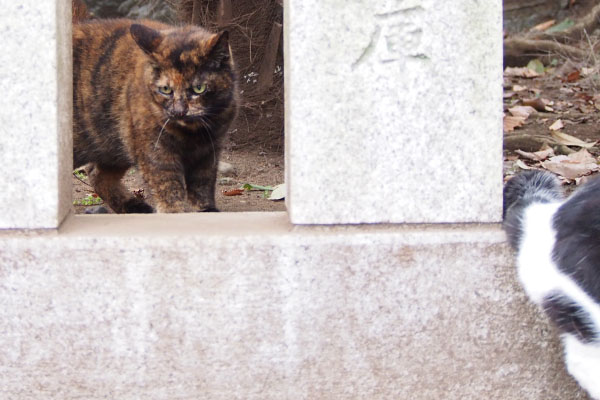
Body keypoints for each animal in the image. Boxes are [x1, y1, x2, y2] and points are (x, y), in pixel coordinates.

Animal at [72, 13, 237, 212]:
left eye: (199, 88)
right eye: (165, 89)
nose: (179, 111)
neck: (193, 134)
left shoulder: (209, 151)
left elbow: (202, 186)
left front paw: (206, 210)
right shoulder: (156, 152)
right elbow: (169, 189)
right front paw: (174, 212)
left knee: (96, 174)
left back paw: (134, 206)